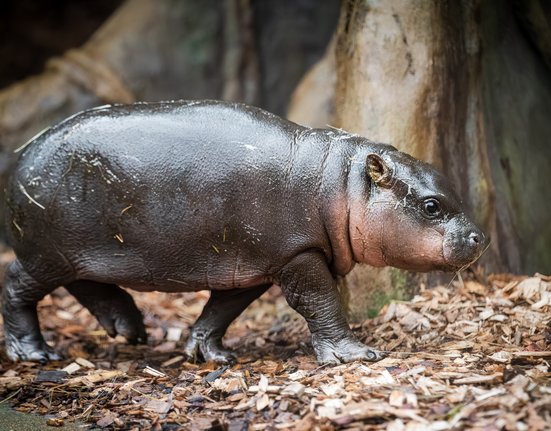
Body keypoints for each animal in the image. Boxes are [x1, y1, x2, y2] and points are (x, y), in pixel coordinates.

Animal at [3, 101, 488, 364]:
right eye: (431, 205)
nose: (479, 237)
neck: (342, 183)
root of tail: (21, 154)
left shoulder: (252, 265)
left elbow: (221, 310)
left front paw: (209, 355)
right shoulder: (296, 254)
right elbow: (320, 302)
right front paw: (355, 355)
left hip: (73, 251)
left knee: (85, 283)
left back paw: (130, 330)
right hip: (44, 252)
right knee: (17, 287)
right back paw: (34, 353)